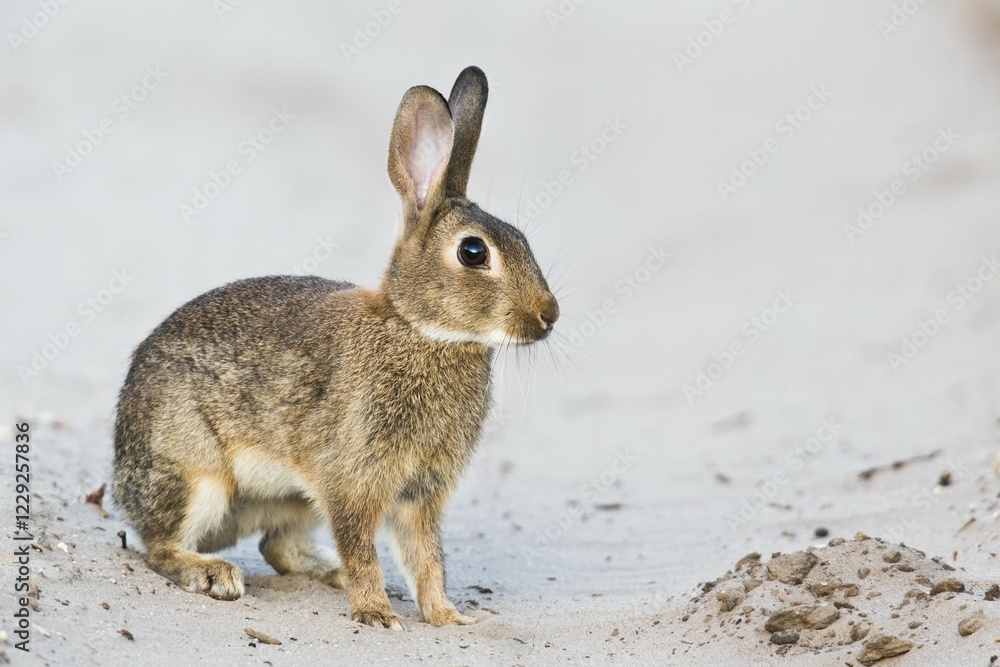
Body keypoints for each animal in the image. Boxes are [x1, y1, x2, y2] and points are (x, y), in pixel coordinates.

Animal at [112, 66, 559, 629]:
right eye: (474, 252)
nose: (549, 315)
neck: (420, 328)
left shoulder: (419, 493)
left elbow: (427, 557)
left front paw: (447, 617)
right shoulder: (352, 476)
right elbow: (364, 545)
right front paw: (377, 614)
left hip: (295, 497)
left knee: (276, 547)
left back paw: (330, 573)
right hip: (196, 473)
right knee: (159, 546)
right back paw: (214, 574)